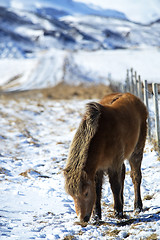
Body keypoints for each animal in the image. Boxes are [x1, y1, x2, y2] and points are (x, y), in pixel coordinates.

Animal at [63, 92, 148, 223]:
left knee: (136, 177)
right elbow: (98, 190)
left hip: (136, 151)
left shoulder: (113, 165)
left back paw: (137, 207)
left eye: (86, 193)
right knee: (123, 174)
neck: (102, 137)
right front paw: (97, 216)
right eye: (72, 195)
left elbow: (115, 186)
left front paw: (118, 214)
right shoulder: (98, 168)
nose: (82, 220)